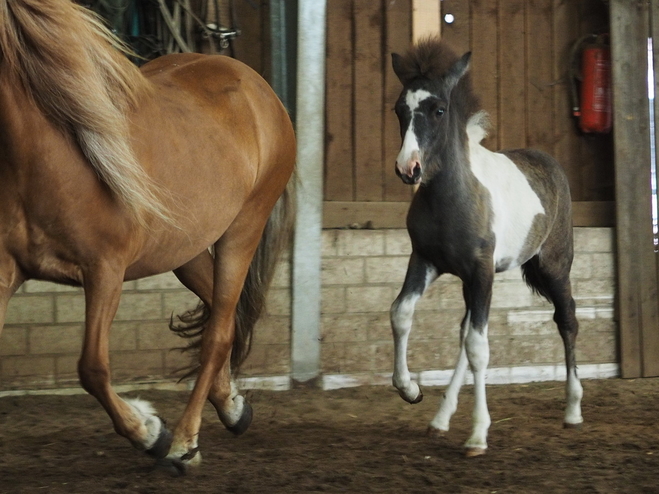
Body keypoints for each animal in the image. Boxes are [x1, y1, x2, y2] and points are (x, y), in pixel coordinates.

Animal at [0, 0, 296, 470]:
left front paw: (150, 432)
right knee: (223, 316)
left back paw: (184, 443)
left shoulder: (105, 272)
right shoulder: (6, 274)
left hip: (243, 230)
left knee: (217, 335)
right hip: (185, 251)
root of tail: (256, 86)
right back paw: (231, 406)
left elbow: (92, 367)